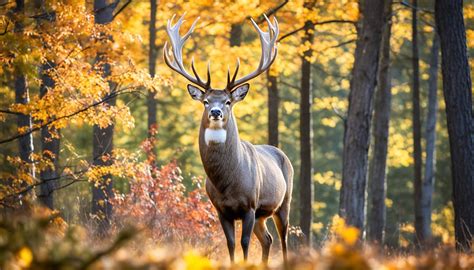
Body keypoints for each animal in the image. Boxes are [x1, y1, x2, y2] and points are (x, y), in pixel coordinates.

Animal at [164, 13, 292, 262]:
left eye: (228, 101)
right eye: (205, 101)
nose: (215, 112)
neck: (228, 182)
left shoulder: (250, 205)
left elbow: (244, 243)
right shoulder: (221, 209)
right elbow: (231, 244)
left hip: (283, 202)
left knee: (283, 240)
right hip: (263, 215)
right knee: (267, 239)